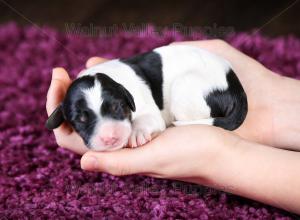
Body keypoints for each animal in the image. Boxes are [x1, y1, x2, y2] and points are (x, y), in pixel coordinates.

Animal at [45, 44, 247, 151]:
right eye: (81, 119)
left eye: (118, 107)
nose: (110, 138)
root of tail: (235, 84)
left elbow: (147, 118)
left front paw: (137, 132)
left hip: (185, 88)